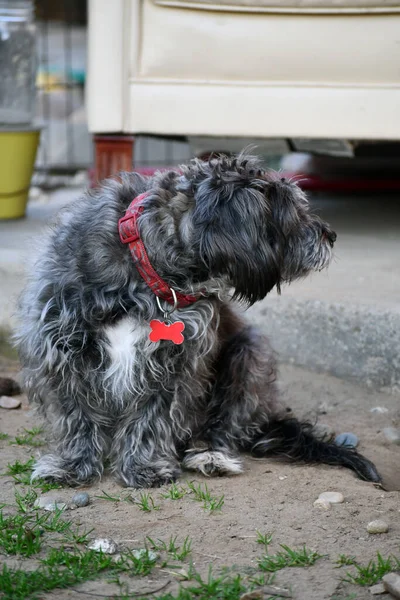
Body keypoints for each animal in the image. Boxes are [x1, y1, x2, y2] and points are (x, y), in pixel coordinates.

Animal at [14, 155, 380, 488]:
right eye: (292, 212)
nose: (331, 235)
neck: (146, 272)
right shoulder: (62, 352)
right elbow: (76, 415)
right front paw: (72, 465)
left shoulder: (174, 364)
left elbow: (151, 417)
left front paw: (145, 467)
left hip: (248, 357)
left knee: (223, 424)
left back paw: (210, 454)